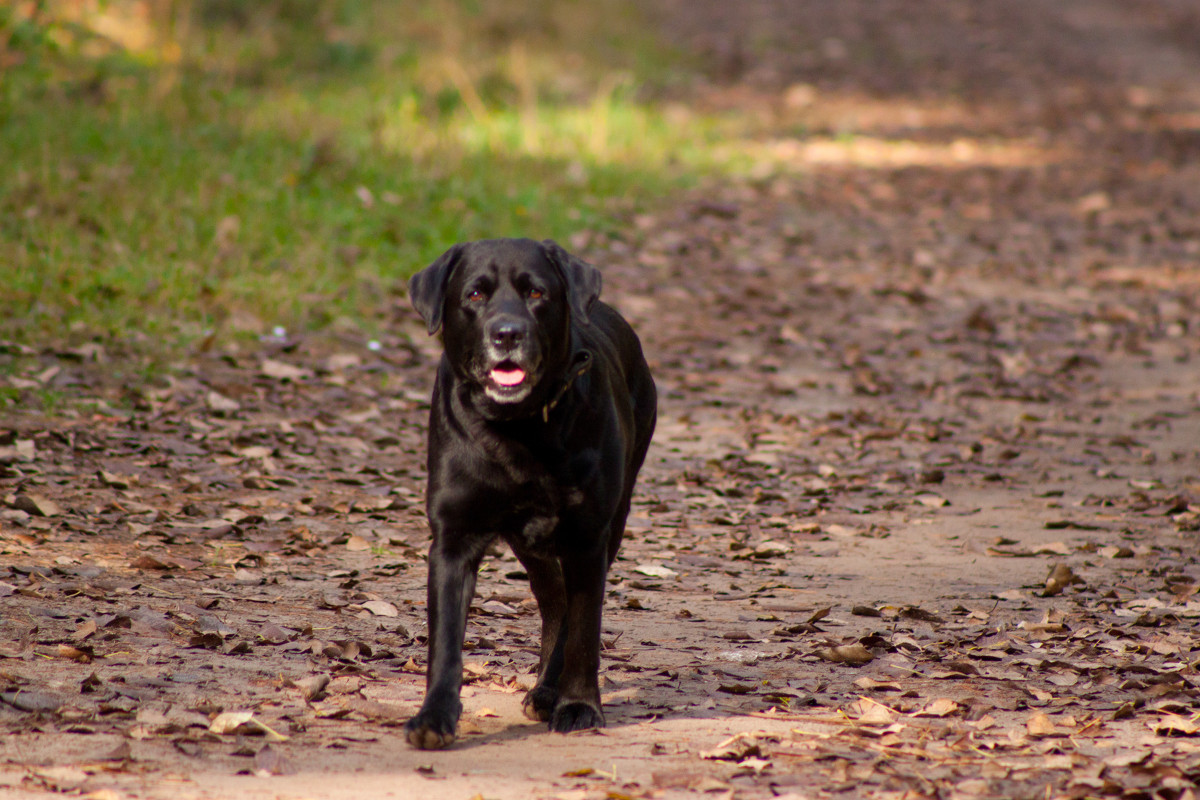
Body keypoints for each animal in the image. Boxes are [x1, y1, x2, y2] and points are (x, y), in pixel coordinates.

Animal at [408, 237, 662, 753]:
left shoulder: (588, 536)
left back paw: (550, 690)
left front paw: (579, 705)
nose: (507, 333)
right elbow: (445, 640)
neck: (519, 429)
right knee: (553, 598)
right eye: (475, 294)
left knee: (566, 609)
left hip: (610, 518)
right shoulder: (452, 537)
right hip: (530, 540)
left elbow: (583, 632)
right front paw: (434, 716)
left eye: (537, 294)